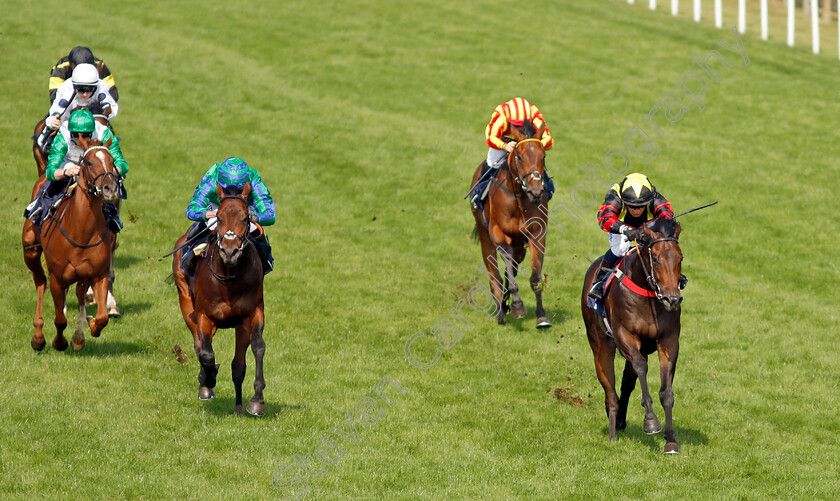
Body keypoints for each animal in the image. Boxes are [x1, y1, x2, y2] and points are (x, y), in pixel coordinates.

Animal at [22, 140, 120, 352]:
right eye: (89, 162)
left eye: (112, 161)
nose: (110, 188)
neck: (81, 230)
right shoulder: (58, 278)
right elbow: (60, 319)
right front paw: (59, 342)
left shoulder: (98, 274)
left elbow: (102, 317)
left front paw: (89, 327)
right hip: (31, 251)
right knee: (40, 282)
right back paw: (38, 337)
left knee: (80, 292)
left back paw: (79, 334)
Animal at [174, 183, 270, 414]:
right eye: (218, 216)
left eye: (245, 218)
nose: (229, 251)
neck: (229, 278)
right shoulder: (204, 316)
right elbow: (206, 354)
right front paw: (208, 380)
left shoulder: (249, 316)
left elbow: (253, 351)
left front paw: (255, 402)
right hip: (185, 301)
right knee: (199, 345)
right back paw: (205, 383)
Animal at [472, 121, 552, 328]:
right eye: (519, 156)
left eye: (543, 156)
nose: (535, 192)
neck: (518, 199)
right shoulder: (498, 233)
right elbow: (506, 265)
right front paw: (517, 306)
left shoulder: (537, 234)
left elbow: (534, 276)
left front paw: (541, 316)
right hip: (485, 236)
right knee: (495, 275)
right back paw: (500, 311)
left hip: (520, 246)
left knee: (512, 269)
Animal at [580, 218, 684, 454]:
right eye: (655, 258)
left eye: (680, 258)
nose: (672, 299)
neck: (648, 295)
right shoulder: (625, 336)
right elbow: (640, 367)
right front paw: (651, 421)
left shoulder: (668, 341)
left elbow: (666, 392)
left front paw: (671, 440)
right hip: (600, 345)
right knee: (610, 389)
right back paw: (612, 431)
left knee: (626, 384)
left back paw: (620, 421)